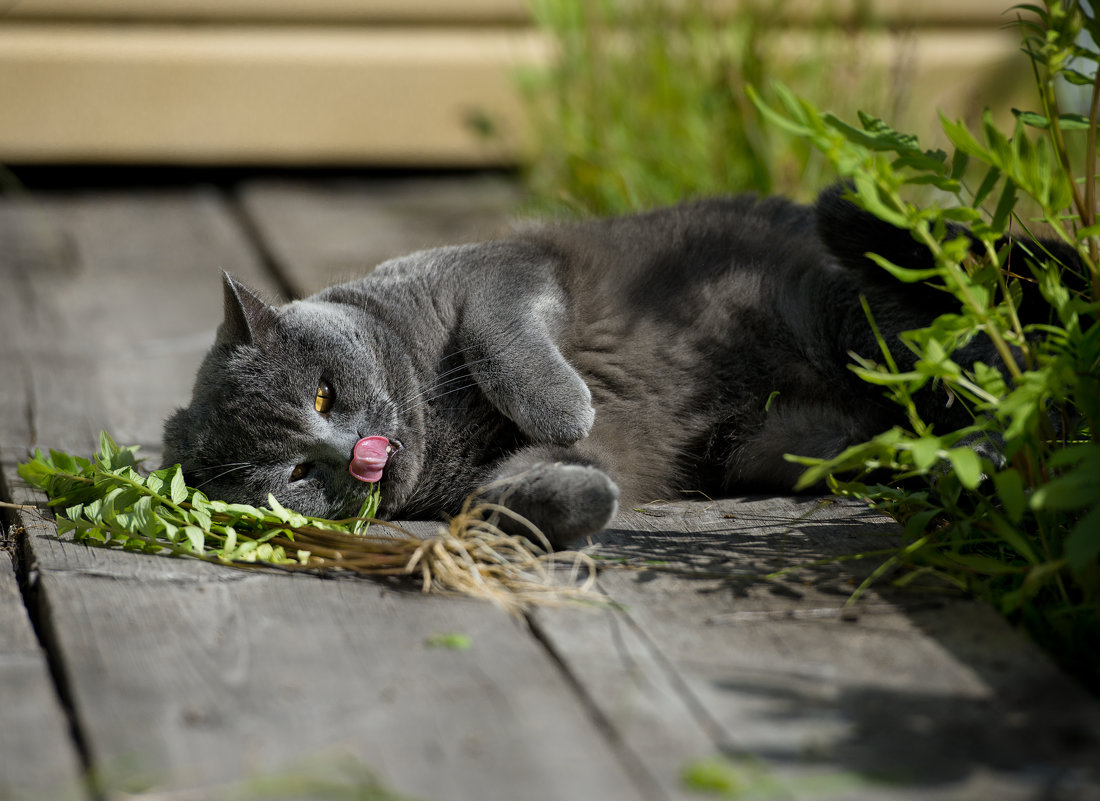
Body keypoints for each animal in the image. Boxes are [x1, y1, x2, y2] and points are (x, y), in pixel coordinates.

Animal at [162, 187, 1020, 547]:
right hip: (770, 440)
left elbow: (503, 341)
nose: (353, 453)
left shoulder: (502, 271)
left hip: (858, 317)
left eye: (322, 392)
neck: (437, 424)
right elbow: (508, 491)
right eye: (296, 474)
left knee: (995, 372)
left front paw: (564, 406)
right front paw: (577, 499)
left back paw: (989, 449)